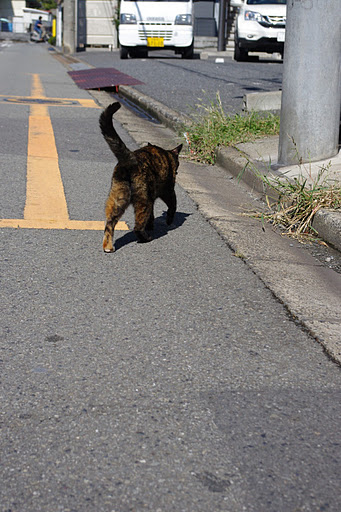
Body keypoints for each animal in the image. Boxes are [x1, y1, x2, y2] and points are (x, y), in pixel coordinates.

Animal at [99, 102, 182, 252]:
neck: (167, 156)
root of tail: (130, 159)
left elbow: (152, 216)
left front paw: (151, 224)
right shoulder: (168, 190)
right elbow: (172, 205)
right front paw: (168, 220)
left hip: (118, 197)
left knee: (109, 223)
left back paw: (108, 247)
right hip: (144, 199)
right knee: (137, 226)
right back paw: (146, 238)